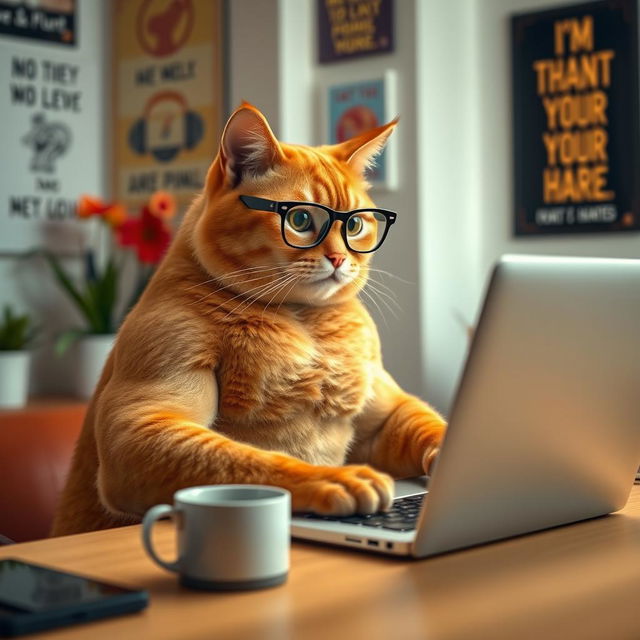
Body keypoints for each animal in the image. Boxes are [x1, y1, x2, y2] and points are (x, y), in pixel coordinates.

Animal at [50, 104, 444, 536]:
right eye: (300, 220)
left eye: (355, 224)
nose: (340, 259)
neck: (305, 322)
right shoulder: (140, 426)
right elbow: (255, 461)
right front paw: (332, 477)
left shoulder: (385, 416)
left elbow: (432, 426)